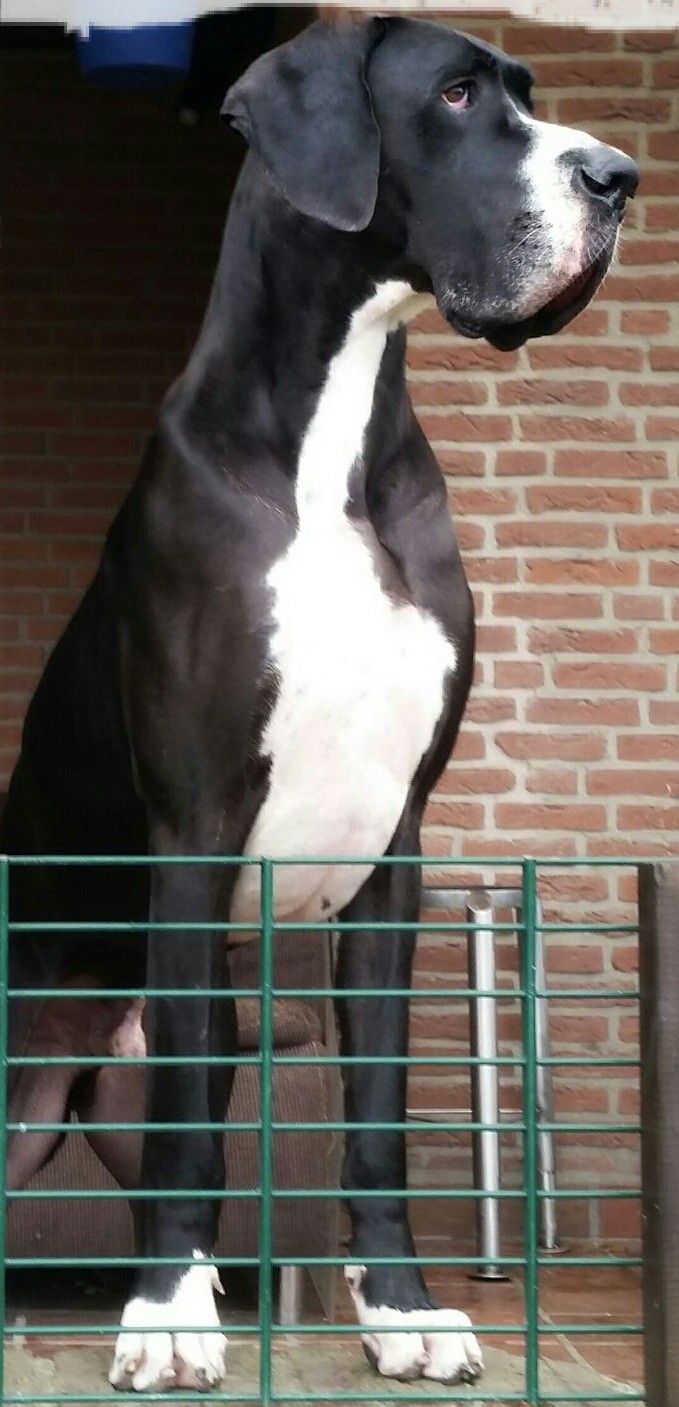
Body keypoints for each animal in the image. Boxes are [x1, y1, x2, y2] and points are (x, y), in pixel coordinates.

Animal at [2, 15, 637, 1394]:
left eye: (527, 91)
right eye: (452, 95)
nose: (619, 178)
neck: (332, 446)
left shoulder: (392, 852)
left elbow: (375, 1109)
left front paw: (399, 1307)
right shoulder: (191, 835)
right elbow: (195, 1137)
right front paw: (167, 1317)